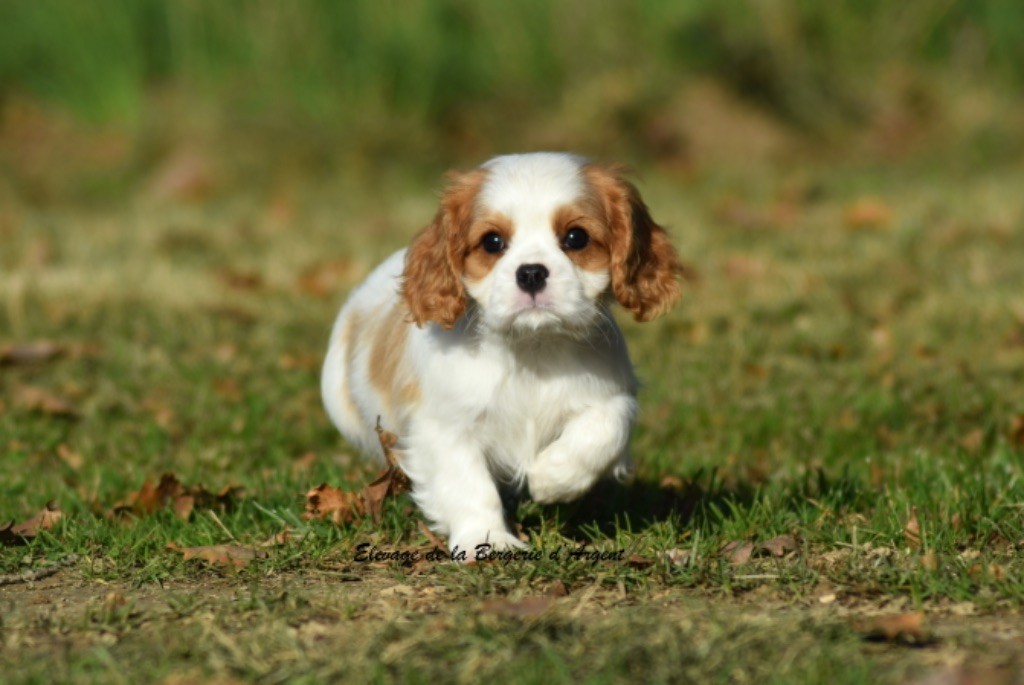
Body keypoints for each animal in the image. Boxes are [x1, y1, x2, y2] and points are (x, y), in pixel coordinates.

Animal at [319, 150, 679, 548]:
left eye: (576, 237)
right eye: (492, 242)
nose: (532, 272)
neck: (532, 347)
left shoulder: (611, 394)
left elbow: (604, 431)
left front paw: (551, 478)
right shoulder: (446, 425)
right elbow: (468, 484)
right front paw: (486, 539)